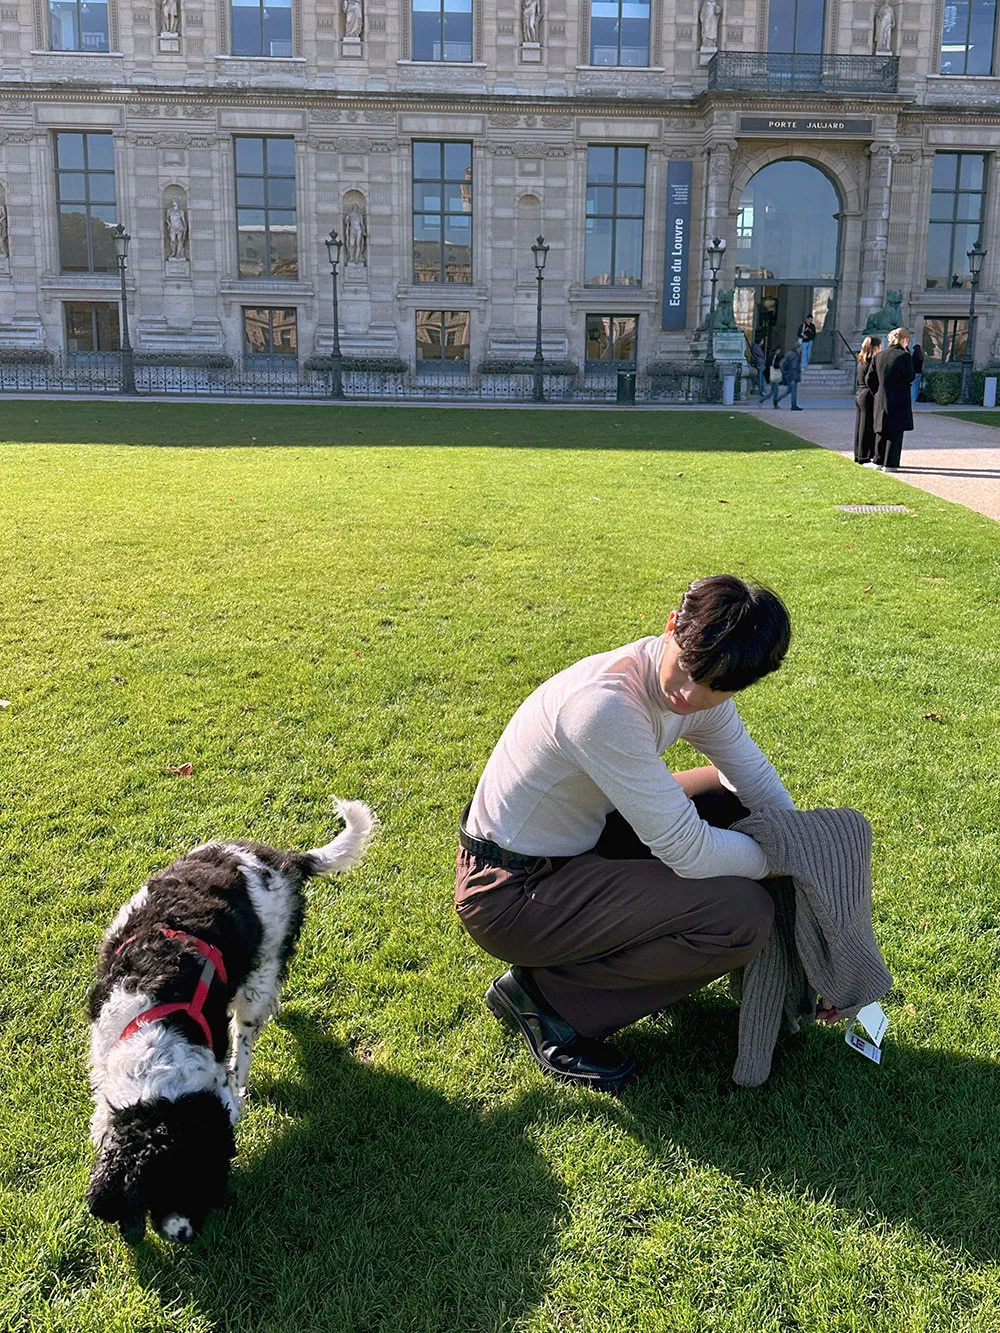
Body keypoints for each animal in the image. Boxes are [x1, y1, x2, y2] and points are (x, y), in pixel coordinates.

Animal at [84, 794, 376, 1242]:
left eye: (201, 1176)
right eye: (157, 1184)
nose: (187, 1233)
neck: (153, 1030)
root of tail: (282, 859)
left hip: (258, 976)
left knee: (247, 1037)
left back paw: (243, 1074)